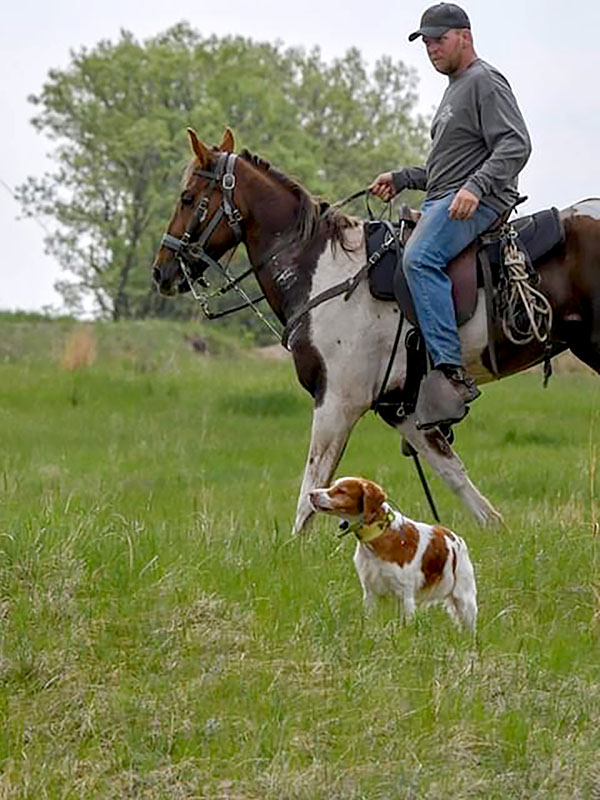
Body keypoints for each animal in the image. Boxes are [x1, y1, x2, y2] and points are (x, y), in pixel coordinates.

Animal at [152, 128, 600, 536]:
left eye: (187, 197)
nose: (161, 271)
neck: (322, 272)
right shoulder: (400, 408)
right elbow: (455, 476)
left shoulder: (337, 400)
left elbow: (311, 489)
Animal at [310, 476, 478, 632]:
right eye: (332, 486)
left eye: (341, 491)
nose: (311, 493)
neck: (378, 536)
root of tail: (455, 538)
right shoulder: (370, 591)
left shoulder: (405, 595)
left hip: (464, 599)